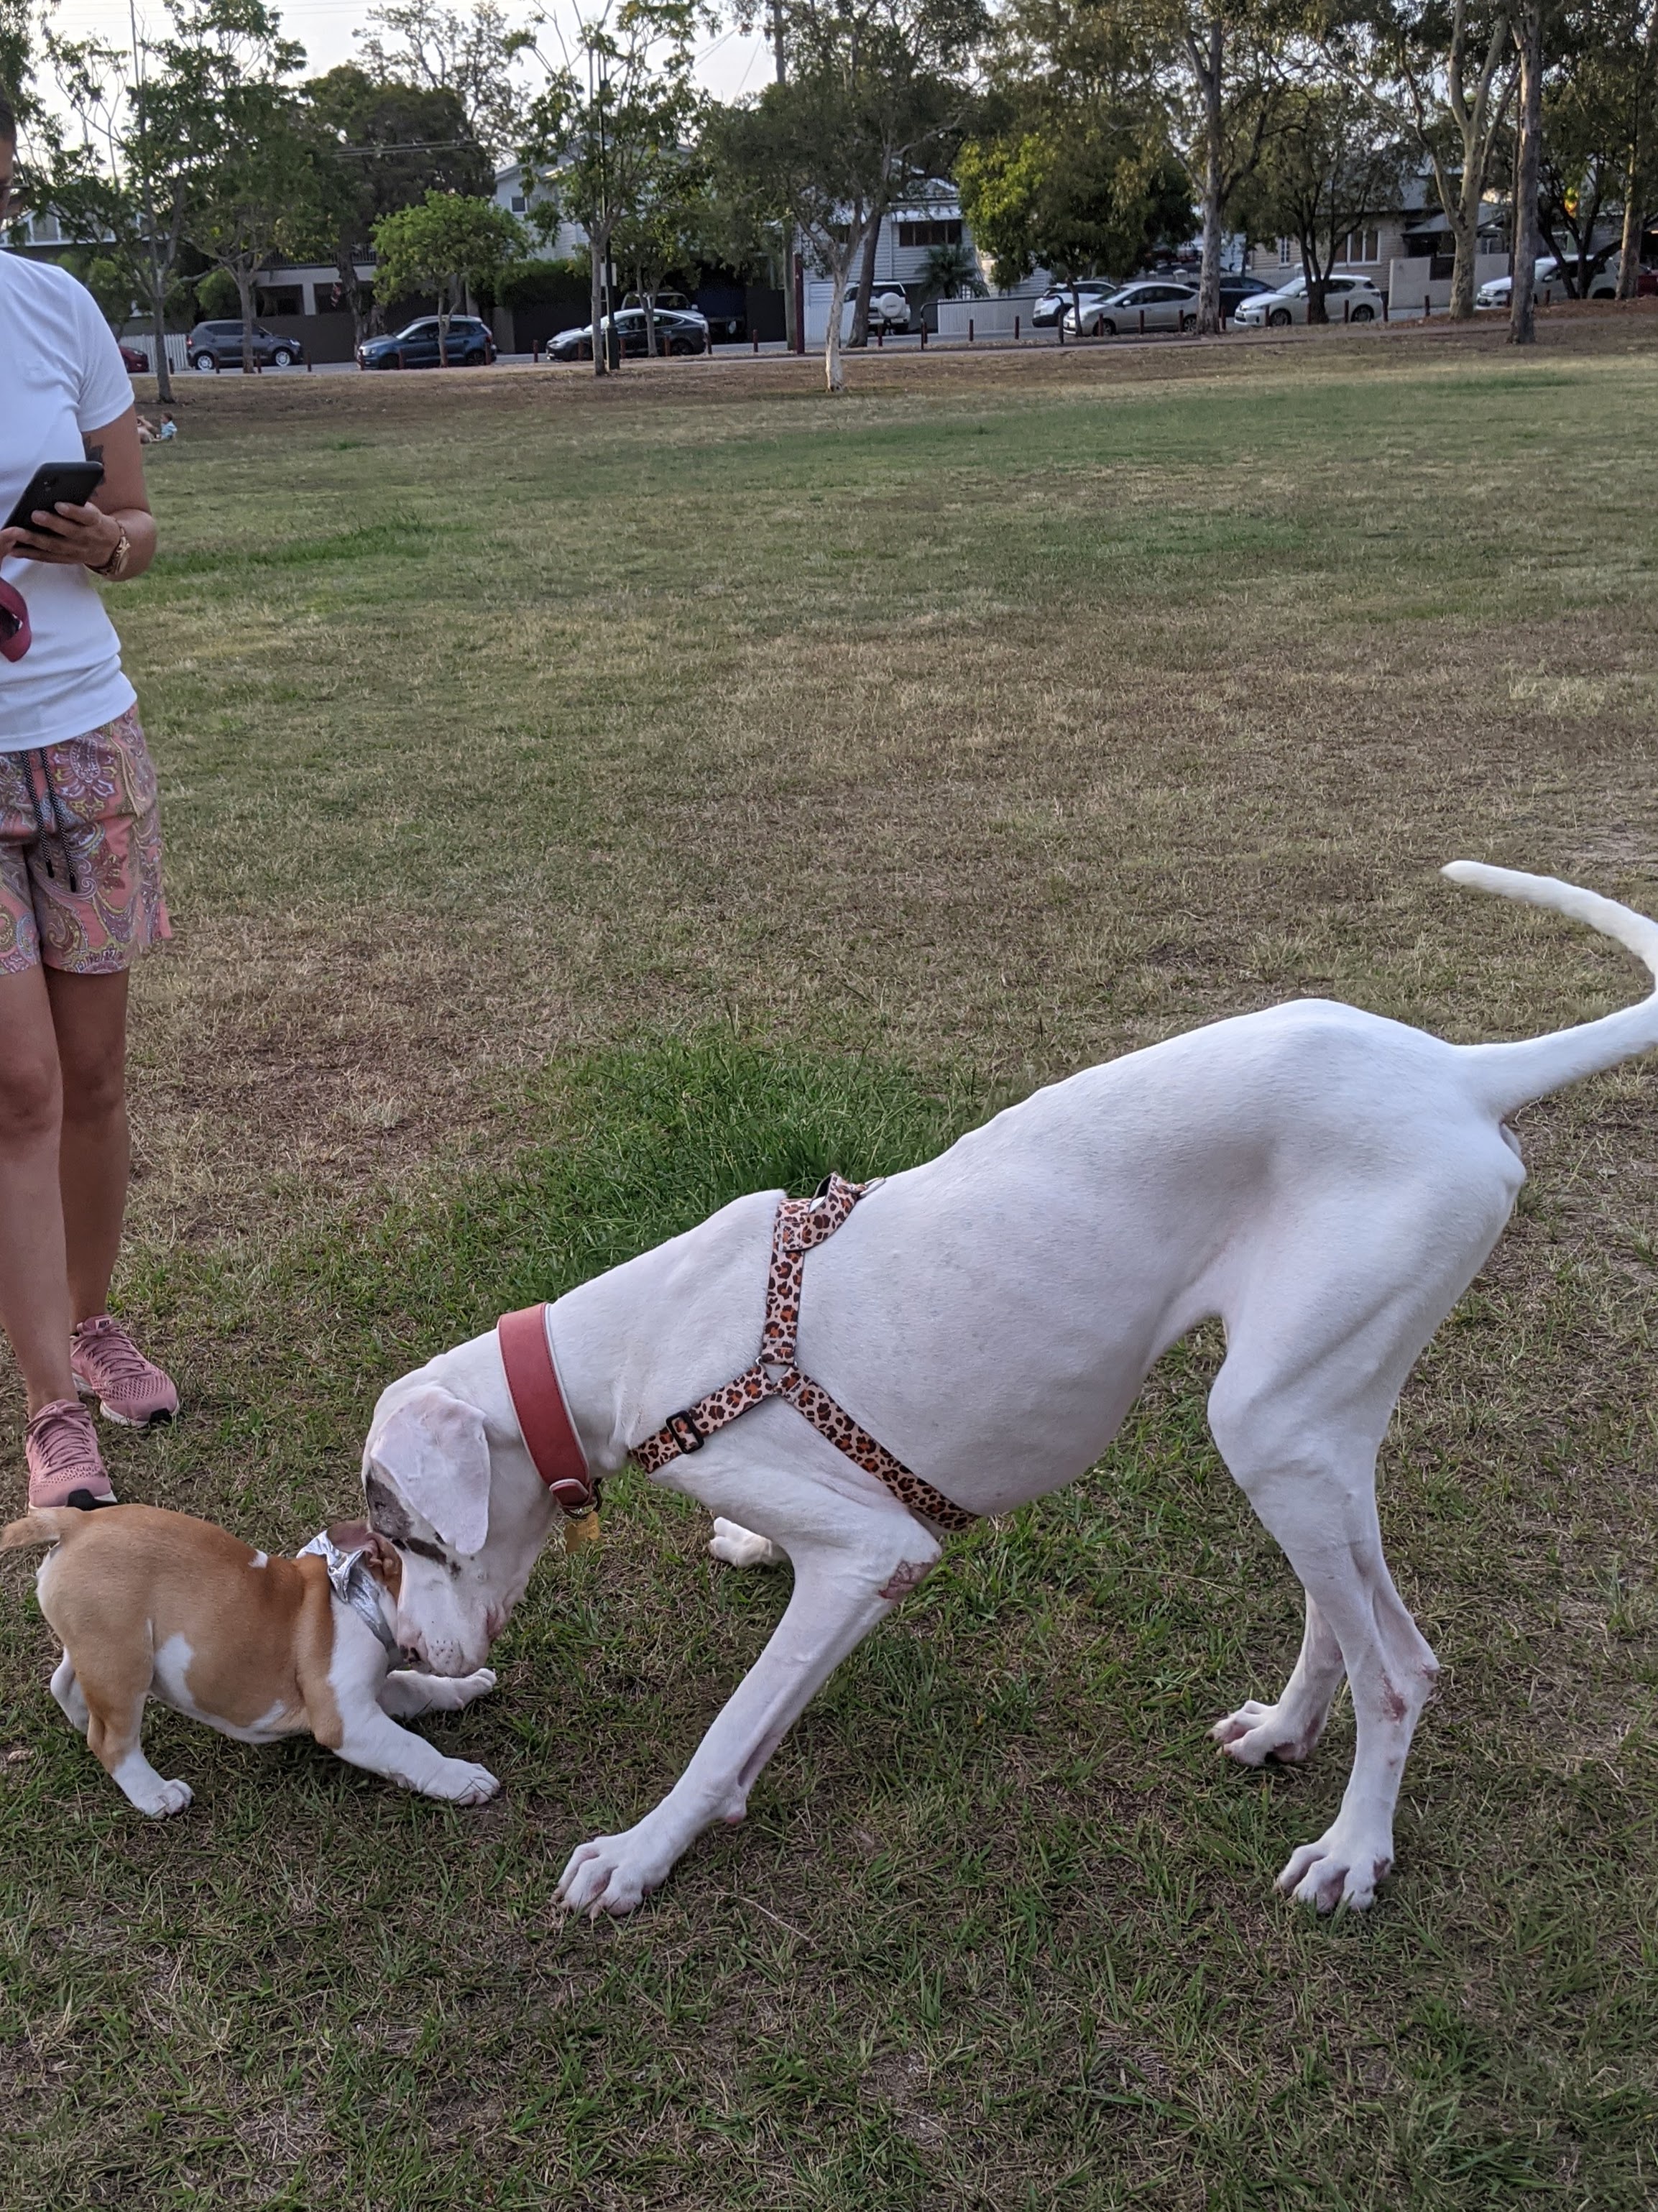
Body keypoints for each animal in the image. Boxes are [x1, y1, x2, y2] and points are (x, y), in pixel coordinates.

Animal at [3, 1504, 504, 1813]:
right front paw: (463, 1778)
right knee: (110, 1740)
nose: (494, 1618)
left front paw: (467, 1687)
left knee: (65, 1682)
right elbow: (411, 1748)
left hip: (98, 1644)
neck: (360, 1599)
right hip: (121, 1660)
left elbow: (419, 1688)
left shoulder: (378, 1692)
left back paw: (80, 1716)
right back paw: (156, 1795)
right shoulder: (348, 1719)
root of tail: (76, 1523)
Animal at [358, 862, 1653, 1920]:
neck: (626, 1346)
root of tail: (1455, 1072)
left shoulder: (871, 1555)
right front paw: (744, 1553)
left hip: (1272, 1426)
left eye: (407, 1539)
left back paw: (1351, 1848)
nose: (408, 1649)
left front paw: (638, 1852)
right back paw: (1285, 1730)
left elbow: (730, 1727)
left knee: (1400, 1666)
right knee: (1341, 1611)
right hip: (1314, 1429)